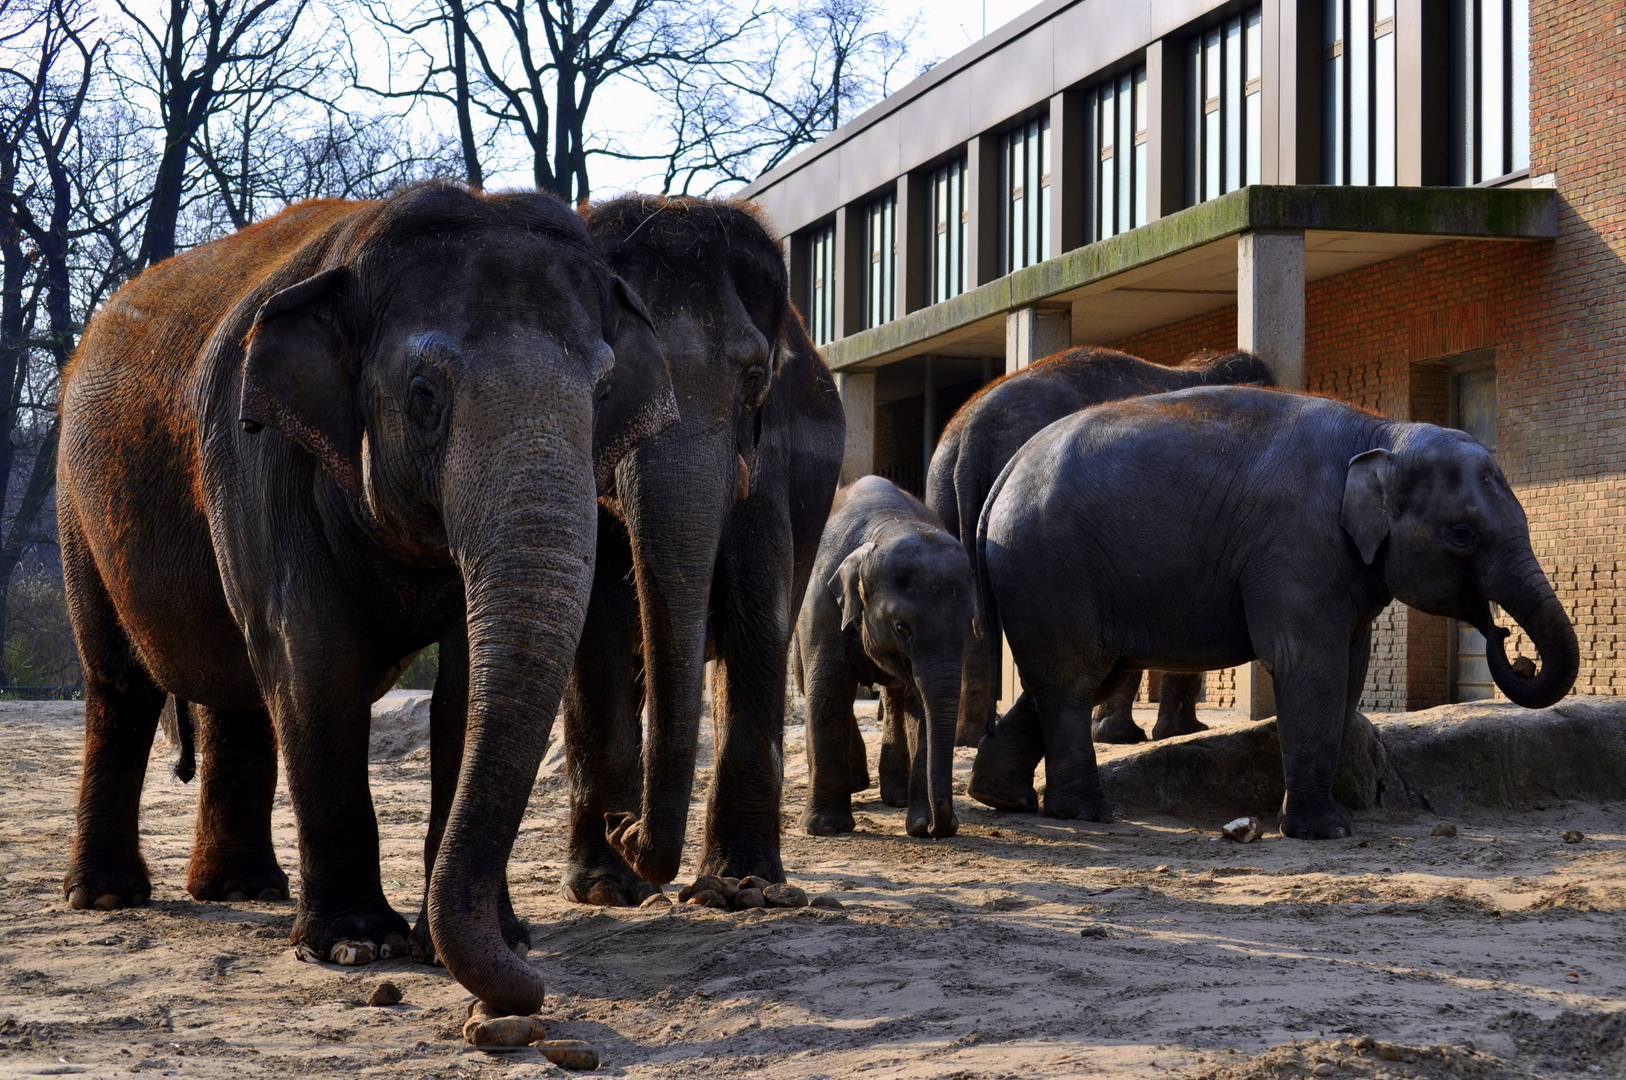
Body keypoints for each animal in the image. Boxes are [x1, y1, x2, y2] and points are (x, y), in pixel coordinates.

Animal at [57, 181, 676, 1014]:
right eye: (423, 395)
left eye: (604, 392)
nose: (526, 988)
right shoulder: (258, 451)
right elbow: (315, 656)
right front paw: (356, 945)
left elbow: (464, 686)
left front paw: (480, 940)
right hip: (77, 505)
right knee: (121, 685)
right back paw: (107, 898)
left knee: (238, 691)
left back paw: (242, 889)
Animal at [556, 195, 839, 904]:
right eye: (604, 384)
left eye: (754, 377)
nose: (626, 826)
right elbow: (595, 627)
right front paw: (607, 886)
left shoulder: (769, 464)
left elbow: (757, 614)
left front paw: (740, 889)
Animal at [793, 478, 969, 839]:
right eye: (902, 627)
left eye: (969, 623)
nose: (939, 827)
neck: (888, 525)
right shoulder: (822, 605)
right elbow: (828, 689)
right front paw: (825, 828)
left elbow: (921, 705)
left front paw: (918, 824)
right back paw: (856, 785)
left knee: (895, 697)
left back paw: (896, 797)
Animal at [962, 383, 1573, 839]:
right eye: (1462, 535)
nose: (1507, 642)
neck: (1383, 433)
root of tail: (1005, 474)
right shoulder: (1296, 545)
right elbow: (1311, 664)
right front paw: (1326, 832)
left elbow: (1350, 669)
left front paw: (1329, 820)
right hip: (1050, 566)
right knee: (1074, 676)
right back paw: (1088, 814)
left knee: (1080, 676)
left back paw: (1002, 797)